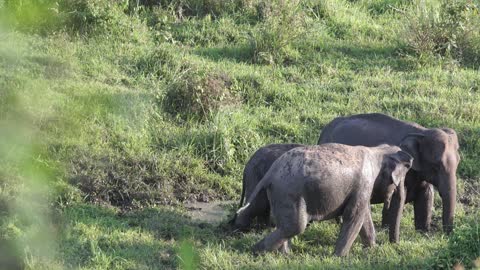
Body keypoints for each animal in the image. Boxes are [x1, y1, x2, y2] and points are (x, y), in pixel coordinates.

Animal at [238, 143, 414, 255]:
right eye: (400, 181)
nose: (395, 245)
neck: (377, 150)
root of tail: (270, 174)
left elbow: (364, 217)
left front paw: (371, 250)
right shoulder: (364, 182)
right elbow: (354, 216)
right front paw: (338, 258)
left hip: (281, 194)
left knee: (285, 225)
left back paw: (284, 255)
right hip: (289, 193)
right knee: (295, 226)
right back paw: (256, 252)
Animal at [318, 113, 462, 233]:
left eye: (458, 162)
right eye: (436, 166)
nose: (447, 234)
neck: (422, 132)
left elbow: (426, 195)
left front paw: (422, 232)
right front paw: (385, 229)